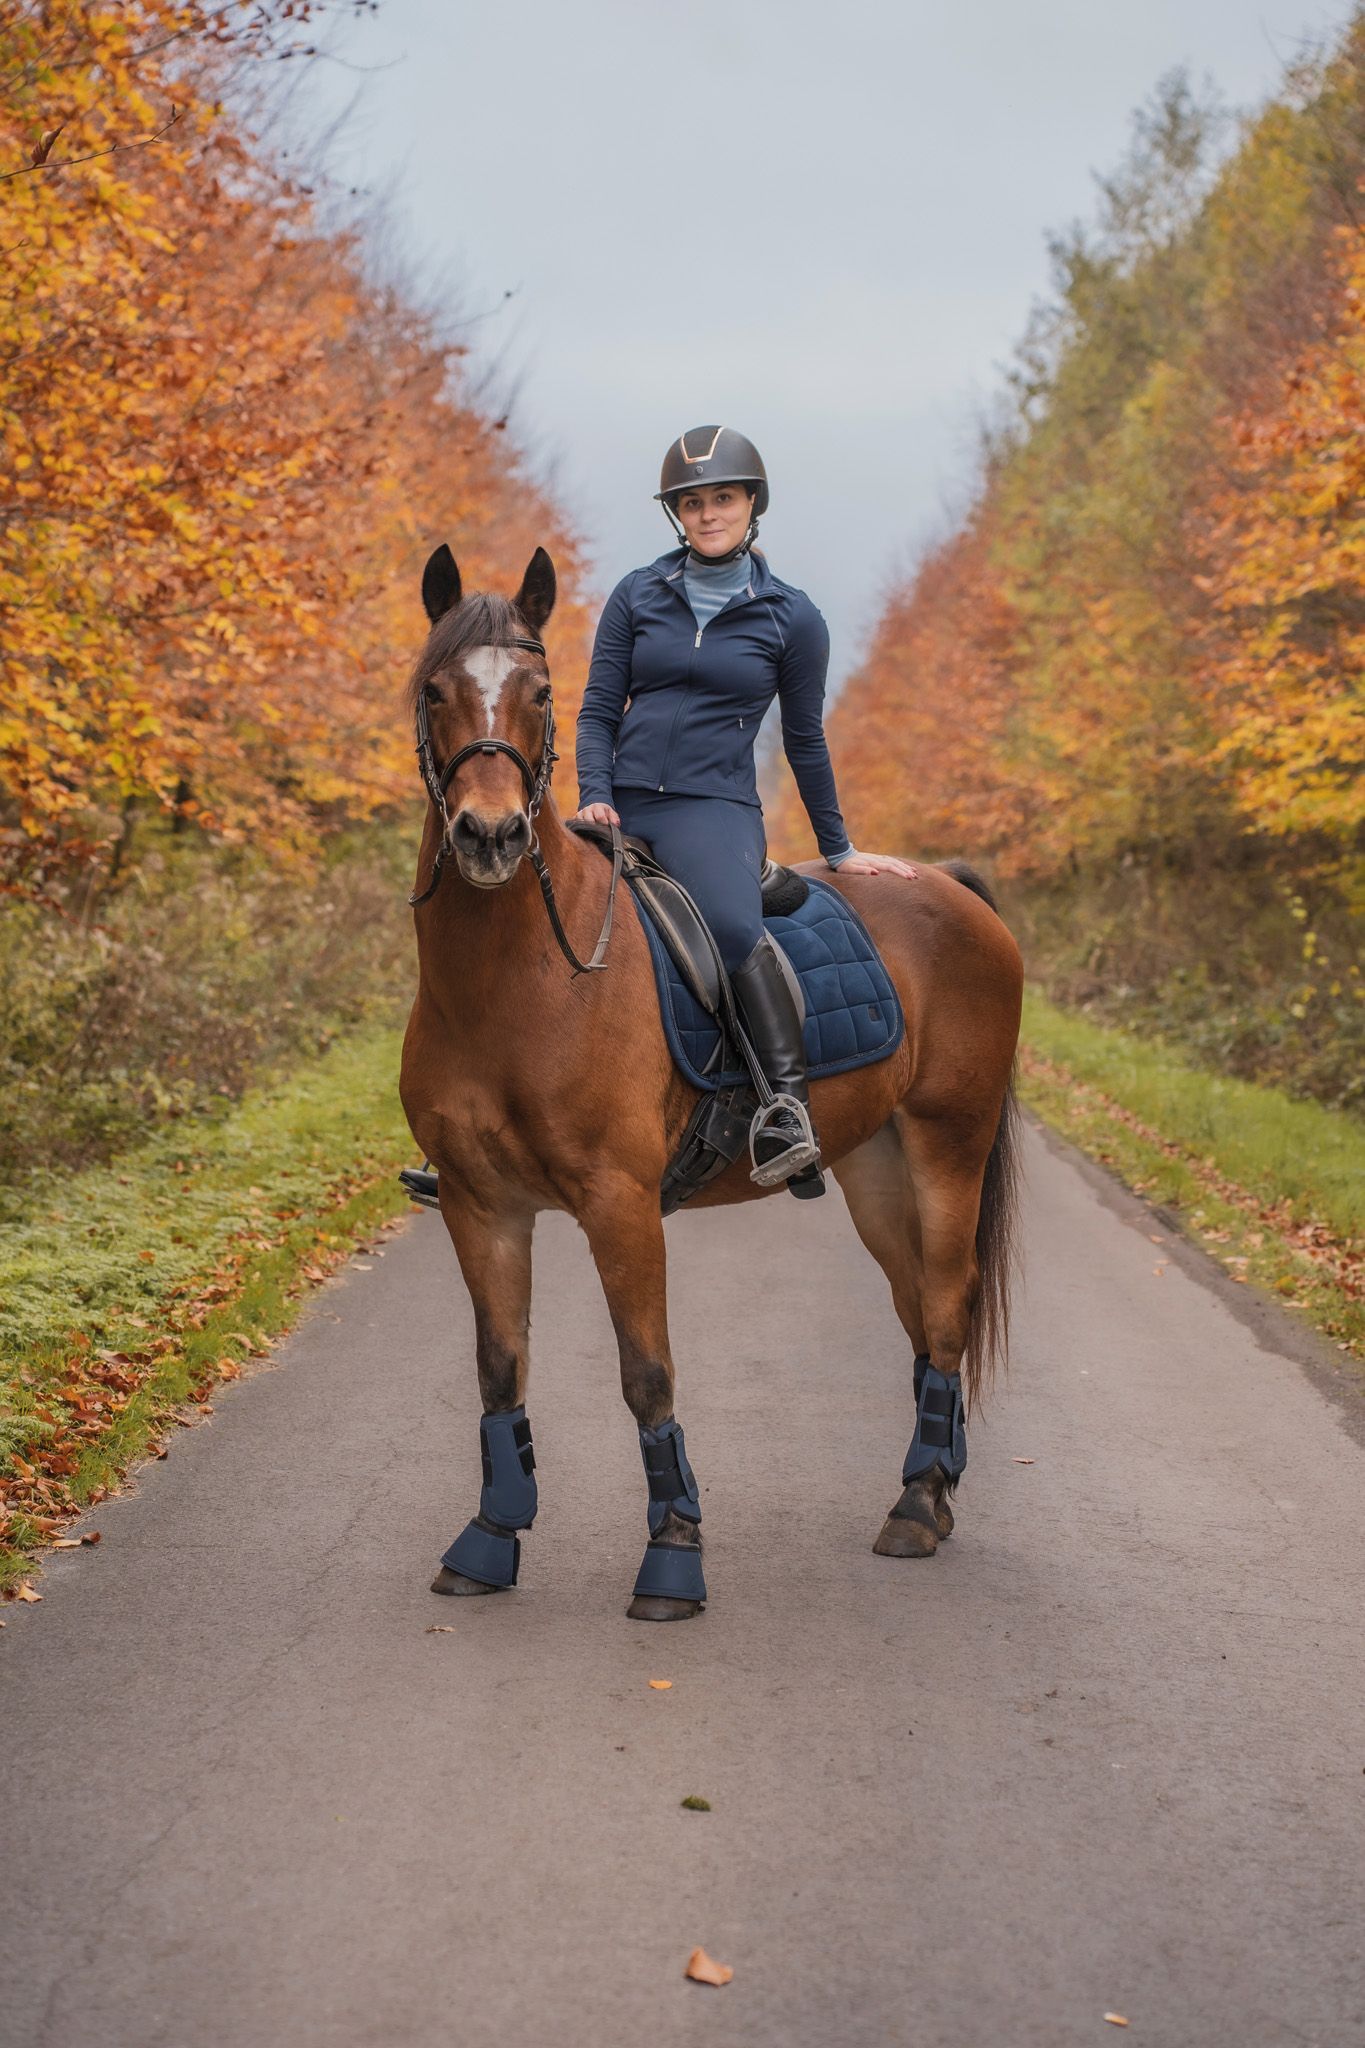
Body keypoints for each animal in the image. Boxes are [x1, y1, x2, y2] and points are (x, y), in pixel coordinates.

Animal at [399, 544, 1023, 1622]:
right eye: (435, 689)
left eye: (540, 691)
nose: (488, 836)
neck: (517, 979)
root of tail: (947, 885)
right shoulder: (481, 1206)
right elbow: (498, 1371)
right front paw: (489, 1536)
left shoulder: (618, 1205)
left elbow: (646, 1375)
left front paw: (674, 1554)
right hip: (878, 1170)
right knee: (916, 1311)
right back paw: (932, 1488)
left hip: (951, 1145)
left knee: (946, 1306)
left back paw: (913, 1507)